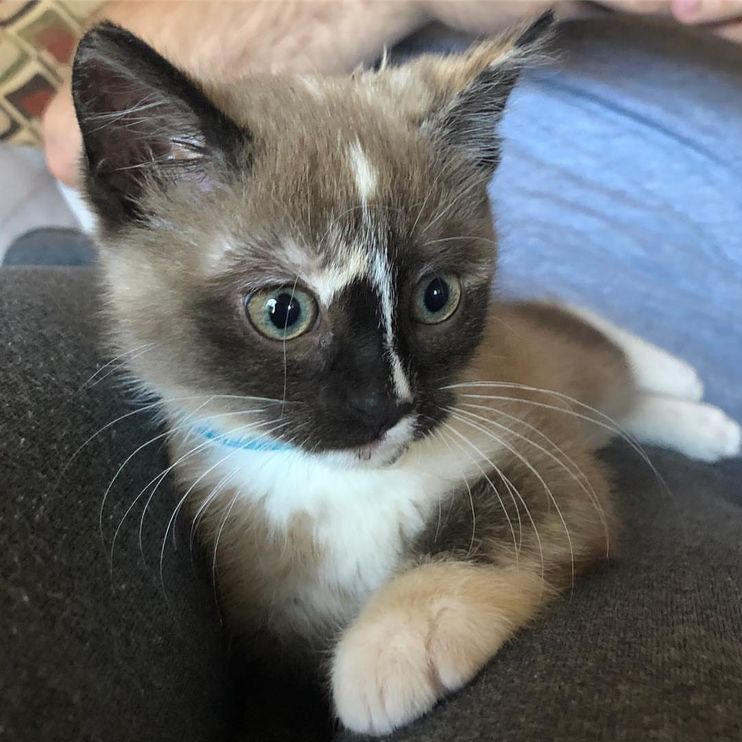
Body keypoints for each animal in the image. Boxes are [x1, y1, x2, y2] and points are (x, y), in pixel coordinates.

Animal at [71, 13, 742, 740]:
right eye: (282, 311)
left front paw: (397, 642)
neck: (345, 487)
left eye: (435, 297)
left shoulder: (542, 452)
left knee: (590, 346)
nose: (385, 405)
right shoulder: (261, 604)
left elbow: (495, 523)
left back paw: (692, 394)